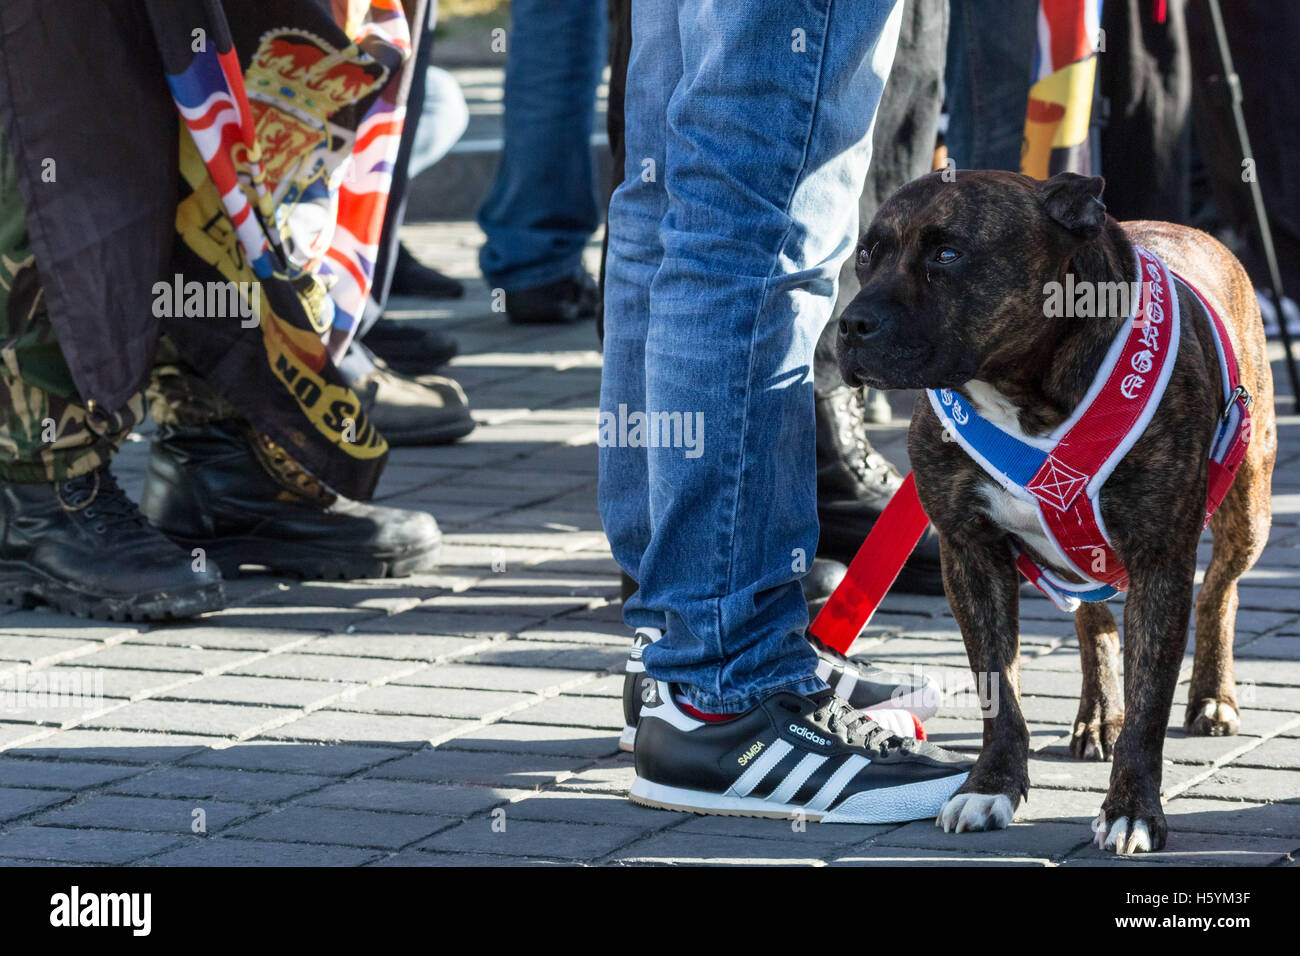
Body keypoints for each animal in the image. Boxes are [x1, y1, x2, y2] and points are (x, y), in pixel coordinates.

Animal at [837, 170, 1274, 853]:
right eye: (865, 255)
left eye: (947, 254)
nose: (852, 323)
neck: (1021, 390)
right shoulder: (971, 555)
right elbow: (998, 688)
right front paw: (988, 787)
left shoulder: (1160, 561)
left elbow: (1149, 705)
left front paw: (1131, 810)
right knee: (1093, 617)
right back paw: (1097, 716)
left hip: (1248, 506)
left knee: (1219, 593)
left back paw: (1212, 697)